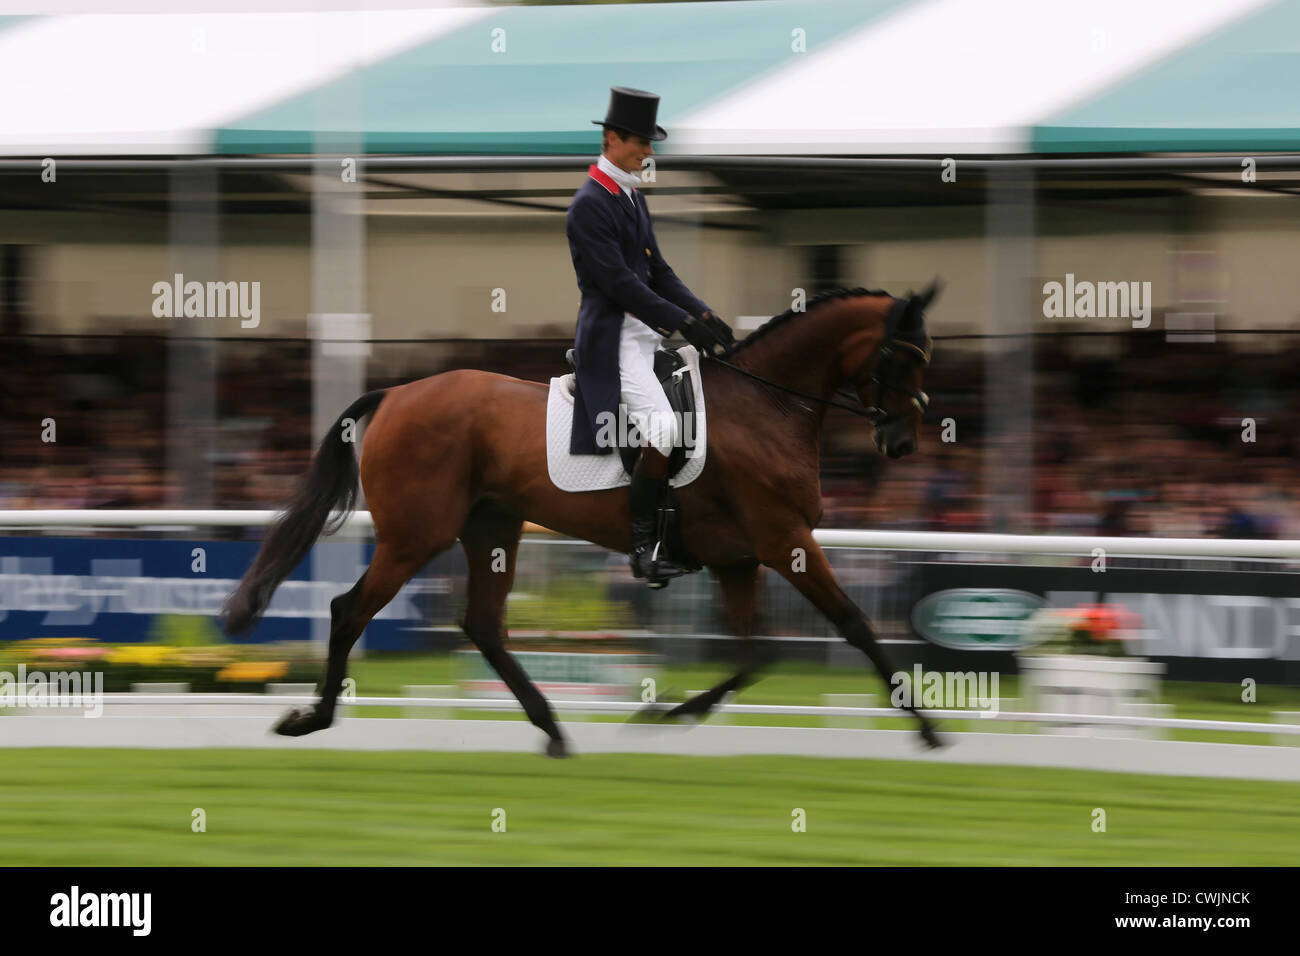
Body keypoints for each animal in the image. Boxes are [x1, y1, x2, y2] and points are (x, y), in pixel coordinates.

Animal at [218, 283, 941, 754]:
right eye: (901, 357)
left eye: (926, 357)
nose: (901, 442)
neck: (764, 406)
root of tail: (398, 391)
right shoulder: (784, 539)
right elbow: (854, 623)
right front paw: (929, 729)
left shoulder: (740, 559)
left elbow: (756, 652)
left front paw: (666, 717)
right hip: (414, 536)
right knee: (350, 611)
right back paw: (313, 720)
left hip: (491, 527)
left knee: (483, 624)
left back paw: (552, 729)